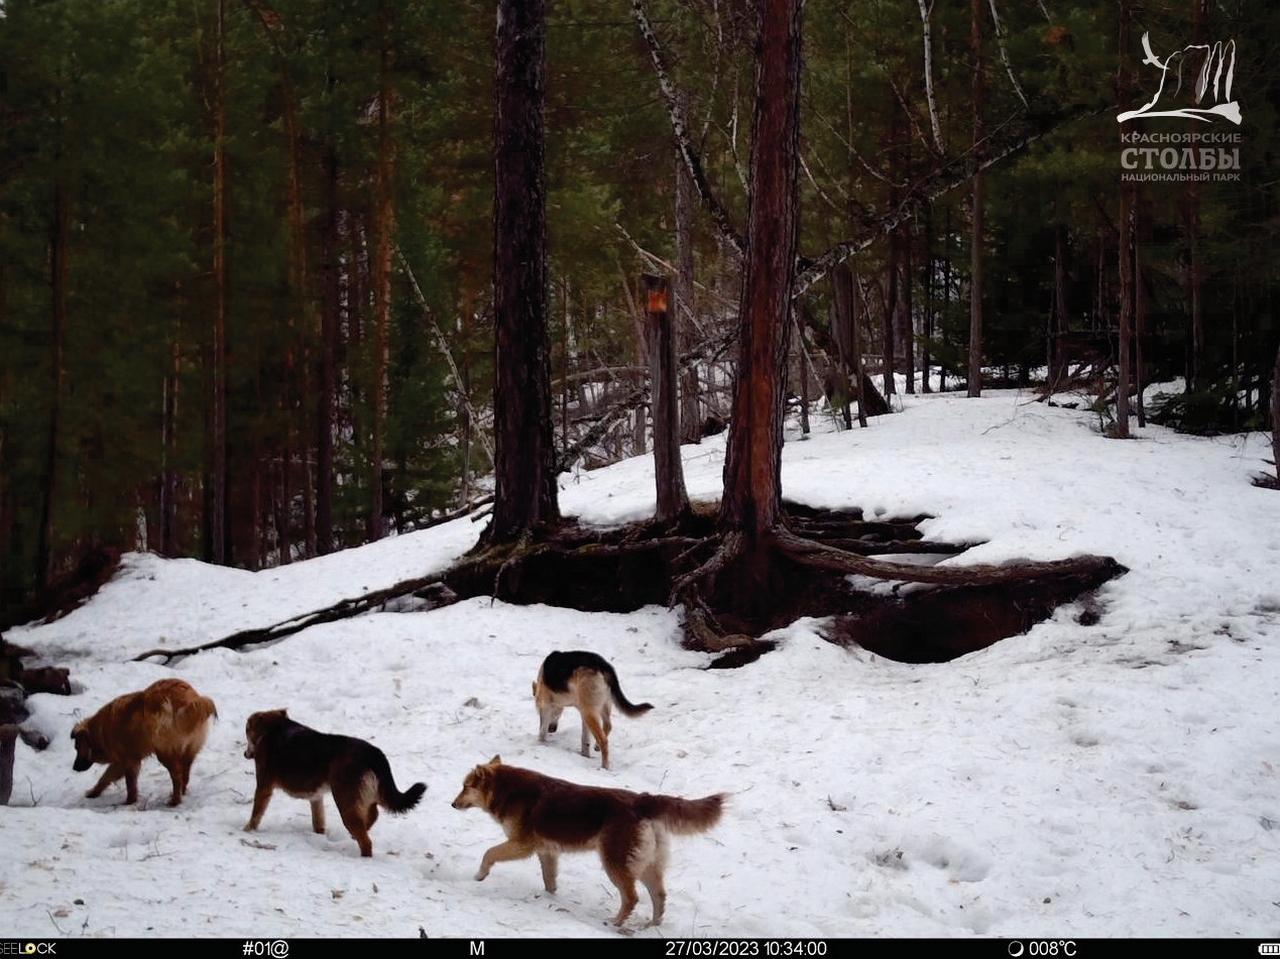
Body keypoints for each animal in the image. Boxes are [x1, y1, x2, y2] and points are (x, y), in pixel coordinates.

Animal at [71, 676, 217, 804]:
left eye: (77, 748)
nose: (74, 768)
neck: (99, 731)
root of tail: (183, 698)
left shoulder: (125, 761)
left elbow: (118, 781)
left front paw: (129, 802)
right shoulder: (129, 761)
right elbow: (107, 778)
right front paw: (94, 792)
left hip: (164, 752)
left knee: (177, 775)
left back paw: (174, 801)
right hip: (188, 750)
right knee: (185, 774)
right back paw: (181, 794)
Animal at [244, 706, 430, 855]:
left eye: (246, 732)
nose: (245, 754)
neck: (274, 727)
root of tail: (372, 753)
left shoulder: (263, 787)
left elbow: (256, 814)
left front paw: (247, 830)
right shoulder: (316, 797)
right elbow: (318, 820)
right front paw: (319, 833)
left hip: (345, 800)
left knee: (366, 840)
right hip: (364, 795)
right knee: (372, 815)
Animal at [453, 757, 727, 926]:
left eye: (465, 787)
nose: (452, 804)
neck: (506, 790)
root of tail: (642, 800)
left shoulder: (521, 845)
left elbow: (489, 853)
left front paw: (480, 876)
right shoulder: (546, 852)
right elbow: (549, 880)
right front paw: (551, 899)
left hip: (614, 863)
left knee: (631, 898)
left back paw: (615, 922)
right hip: (646, 865)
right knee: (659, 895)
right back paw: (652, 924)